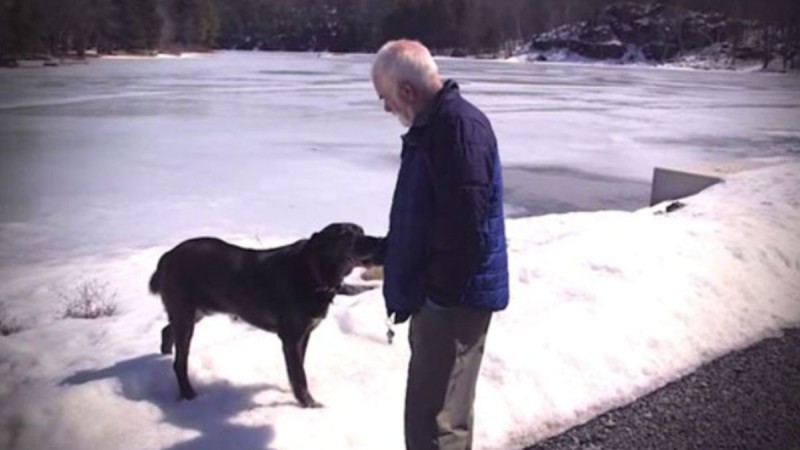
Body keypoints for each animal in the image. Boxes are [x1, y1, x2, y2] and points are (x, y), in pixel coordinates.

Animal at [149, 222, 382, 408]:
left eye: (362, 230)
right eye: (344, 234)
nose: (378, 240)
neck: (314, 272)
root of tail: (167, 256)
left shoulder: (304, 334)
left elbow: (297, 367)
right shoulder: (290, 337)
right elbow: (299, 374)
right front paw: (309, 404)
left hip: (195, 311)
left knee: (167, 331)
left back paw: (165, 354)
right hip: (186, 314)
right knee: (180, 362)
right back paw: (189, 394)